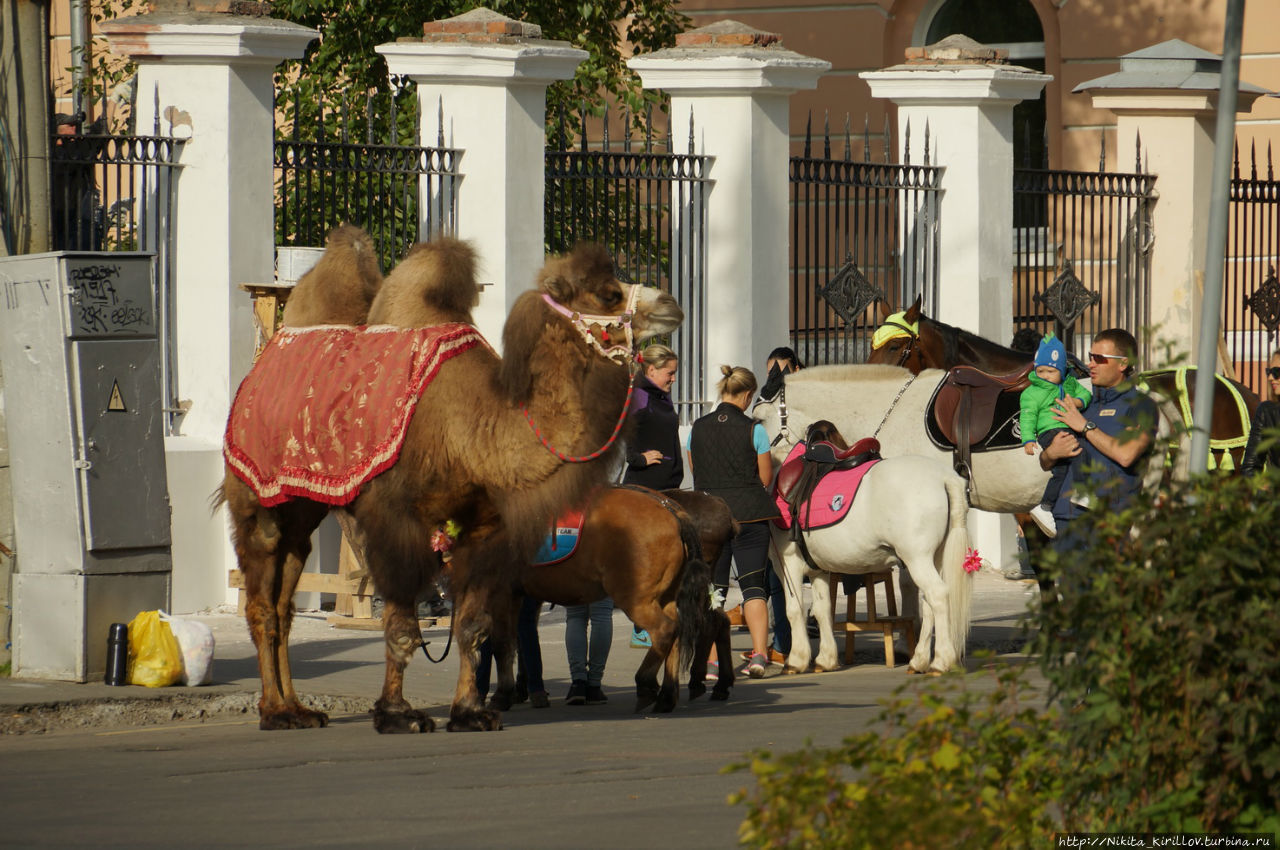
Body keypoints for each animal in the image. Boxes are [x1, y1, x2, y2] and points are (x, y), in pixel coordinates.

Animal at [217, 230, 691, 732]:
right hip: (258, 496)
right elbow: (402, 627)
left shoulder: (483, 529)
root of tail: (264, 362)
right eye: (607, 293)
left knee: (286, 596)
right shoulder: (395, 521)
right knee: (262, 601)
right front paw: (397, 714)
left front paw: (470, 711)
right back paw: (275, 712)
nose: (671, 303)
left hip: (304, 507)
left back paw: (297, 709)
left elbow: (473, 627)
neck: (473, 430)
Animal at [768, 455, 967, 675]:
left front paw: (796, 660)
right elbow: (823, 609)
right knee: (929, 603)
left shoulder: (787, 563)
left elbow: (794, 610)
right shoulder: (818, 570)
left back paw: (940, 661)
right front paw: (826, 659)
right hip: (936, 559)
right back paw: (919, 660)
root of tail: (944, 477)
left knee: (938, 595)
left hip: (917, 559)